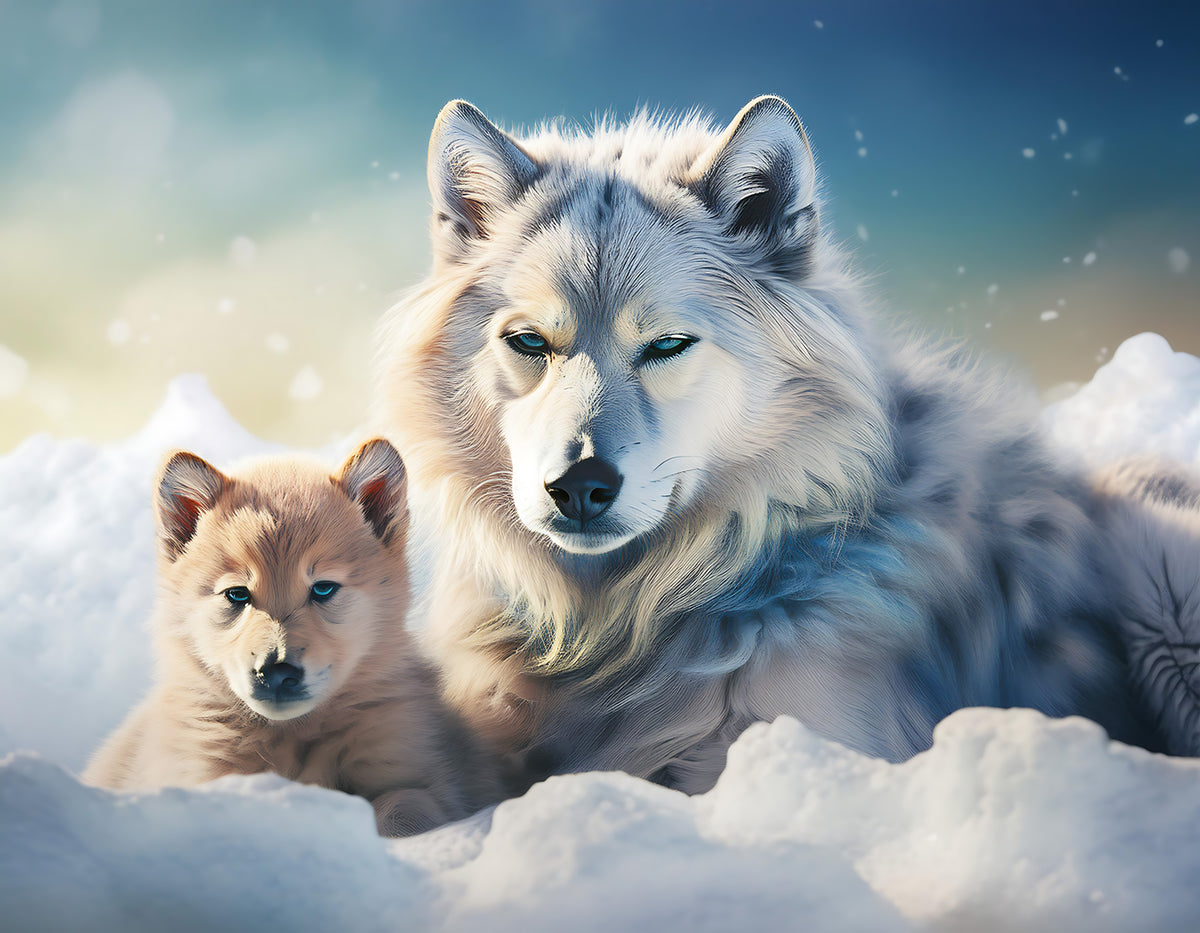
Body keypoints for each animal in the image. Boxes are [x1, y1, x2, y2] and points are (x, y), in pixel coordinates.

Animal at [84, 439, 501, 835]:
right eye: (237, 594)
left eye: (323, 589)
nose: (277, 673)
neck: (290, 736)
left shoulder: (411, 768)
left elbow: (405, 807)